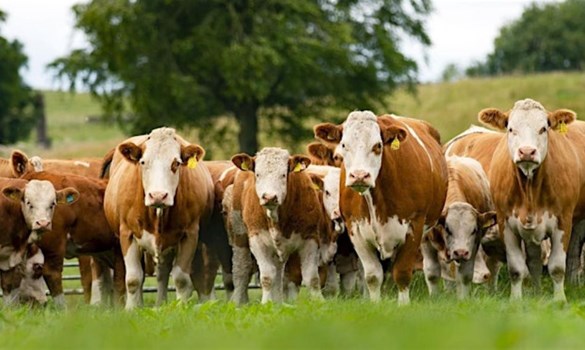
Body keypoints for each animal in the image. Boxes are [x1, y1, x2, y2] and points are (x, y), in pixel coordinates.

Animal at [229, 148, 324, 304]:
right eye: (257, 174)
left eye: (283, 174)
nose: (269, 197)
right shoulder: (257, 240)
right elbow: (267, 277)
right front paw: (266, 303)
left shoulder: (311, 238)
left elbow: (312, 277)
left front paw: (319, 302)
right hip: (239, 234)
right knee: (242, 268)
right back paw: (238, 301)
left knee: (279, 272)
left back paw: (279, 302)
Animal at [314, 111, 448, 304]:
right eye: (344, 145)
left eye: (377, 145)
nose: (359, 175)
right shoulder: (356, 230)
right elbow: (373, 276)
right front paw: (376, 304)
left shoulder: (414, 226)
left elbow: (402, 273)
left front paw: (403, 305)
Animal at [422, 156, 496, 298]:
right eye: (447, 228)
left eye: (474, 230)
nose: (460, 252)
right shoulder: (426, 242)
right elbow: (432, 274)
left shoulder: (472, 247)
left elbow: (465, 276)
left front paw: (463, 299)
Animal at [476, 98, 584, 300]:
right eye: (511, 128)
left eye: (543, 128)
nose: (526, 151)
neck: (529, 189)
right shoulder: (506, 224)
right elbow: (517, 268)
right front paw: (516, 300)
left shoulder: (563, 222)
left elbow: (557, 267)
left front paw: (559, 299)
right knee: (534, 262)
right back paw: (537, 292)